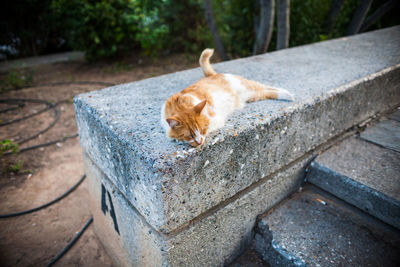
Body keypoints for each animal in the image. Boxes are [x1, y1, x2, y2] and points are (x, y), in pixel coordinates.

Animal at [160, 49, 294, 148]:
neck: (180, 105)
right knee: (266, 91)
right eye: (189, 135)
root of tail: (212, 75)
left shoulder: (215, 119)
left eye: (202, 130)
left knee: (266, 86)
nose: (199, 142)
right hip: (252, 95)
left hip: (246, 86)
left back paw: (289, 95)